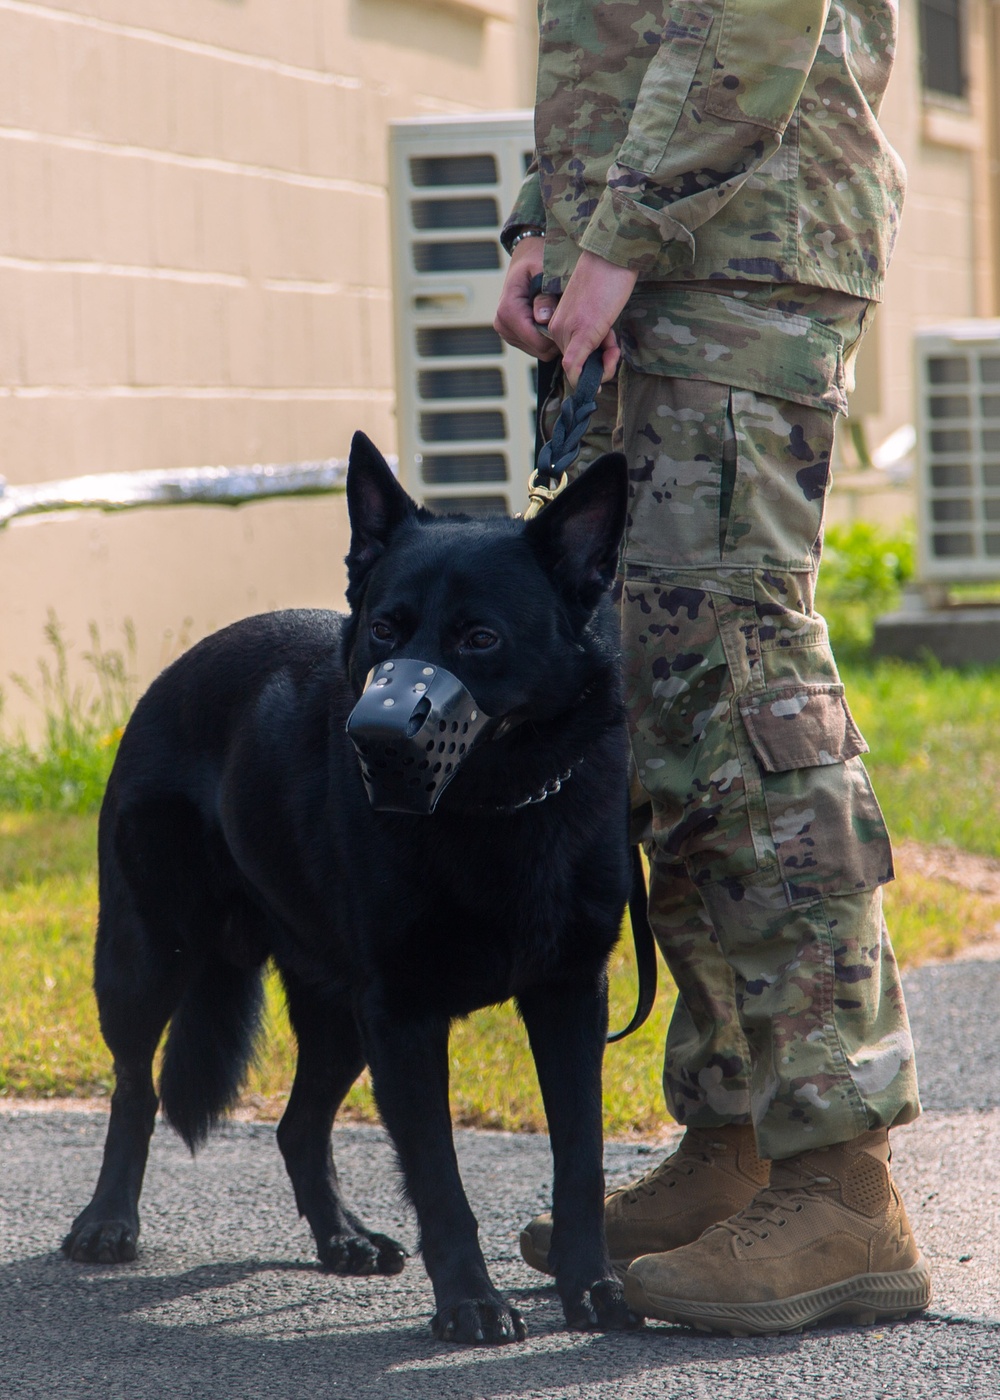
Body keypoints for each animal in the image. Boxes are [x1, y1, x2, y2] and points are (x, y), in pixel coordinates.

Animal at [62, 434, 635, 1344]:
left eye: (480, 637)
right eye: (382, 630)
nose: (372, 738)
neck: (493, 811)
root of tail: (179, 669)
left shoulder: (568, 995)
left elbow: (579, 1159)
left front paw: (592, 1286)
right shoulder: (402, 1016)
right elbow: (440, 1181)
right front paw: (471, 1303)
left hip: (335, 1016)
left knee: (297, 1127)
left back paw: (342, 1240)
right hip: (148, 959)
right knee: (135, 1089)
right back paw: (108, 1220)